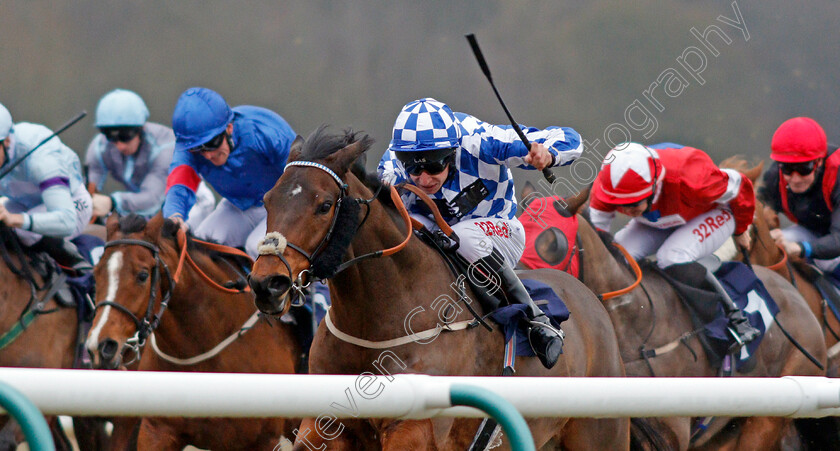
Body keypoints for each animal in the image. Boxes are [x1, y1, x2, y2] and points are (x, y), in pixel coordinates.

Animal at [249, 128, 632, 451]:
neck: (378, 321)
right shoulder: (324, 422)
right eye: (267, 200)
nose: (267, 283)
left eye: (324, 205)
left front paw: (540, 153)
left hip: (601, 433)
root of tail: (589, 299)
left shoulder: (418, 427)